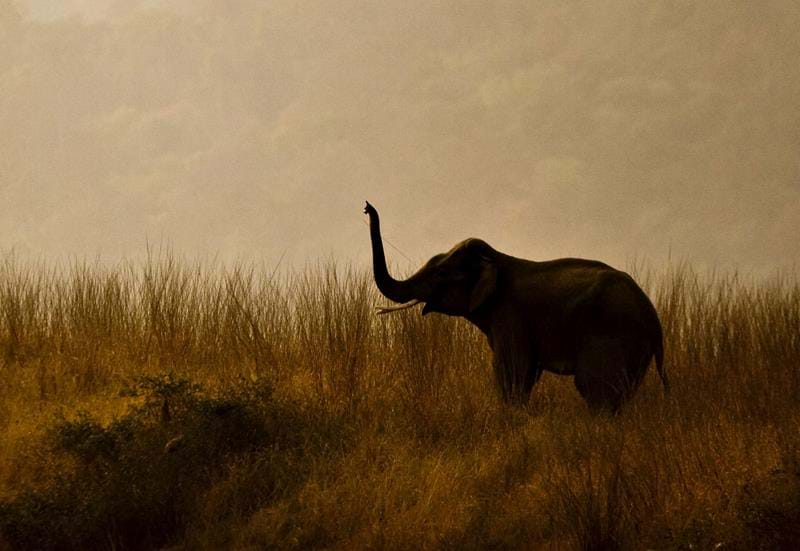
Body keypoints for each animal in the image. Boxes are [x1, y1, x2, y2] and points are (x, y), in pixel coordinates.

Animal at [366, 201, 664, 412]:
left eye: (440, 273)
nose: (367, 207)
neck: (496, 258)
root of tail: (652, 315)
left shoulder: (510, 314)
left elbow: (512, 368)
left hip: (613, 334)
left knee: (595, 387)